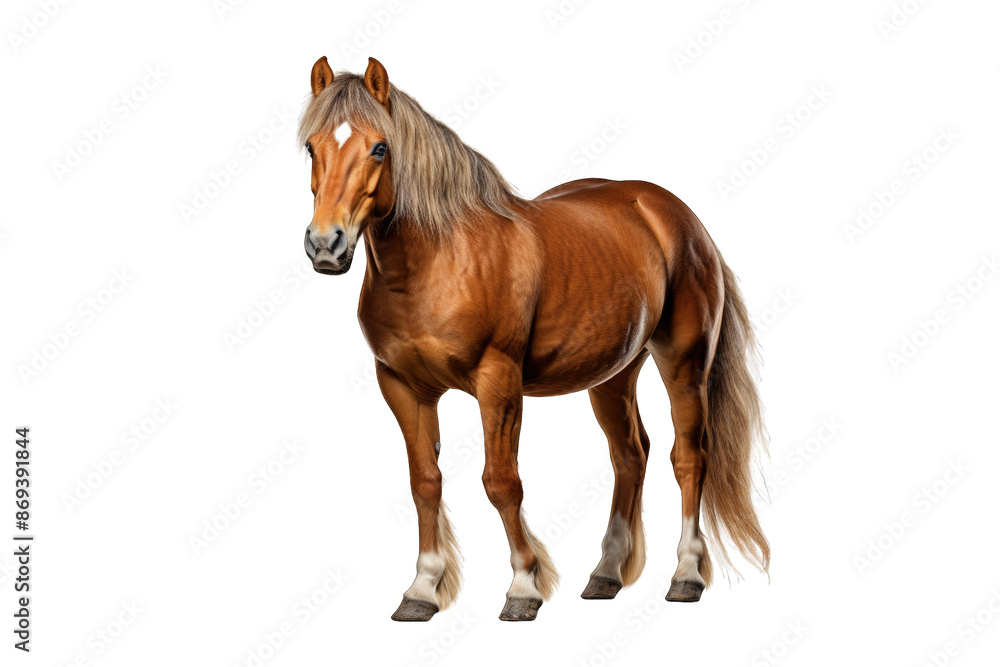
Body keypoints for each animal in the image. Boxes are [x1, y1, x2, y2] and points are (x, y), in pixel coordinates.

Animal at [298, 56, 769, 622]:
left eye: (379, 148)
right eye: (311, 147)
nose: (326, 245)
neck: (437, 261)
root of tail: (675, 215)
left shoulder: (498, 380)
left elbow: (502, 483)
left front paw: (523, 586)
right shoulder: (401, 386)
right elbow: (424, 482)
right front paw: (422, 589)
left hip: (685, 363)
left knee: (689, 458)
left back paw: (686, 575)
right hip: (612, 376)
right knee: (630, 454)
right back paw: (606, 573)